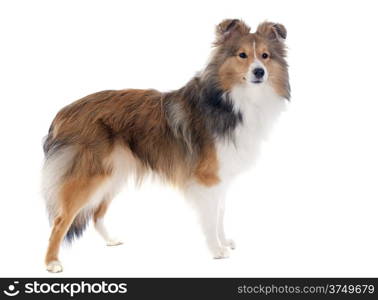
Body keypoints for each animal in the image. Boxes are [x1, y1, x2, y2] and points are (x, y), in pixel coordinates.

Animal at [41, 18, 290, 272]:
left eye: (265, 55)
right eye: (242, 55)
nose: (259, 72)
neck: (230, 100)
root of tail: (63, 113)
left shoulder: (222, 177)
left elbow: (220, 213)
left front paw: (223, 241)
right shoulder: (207, 178)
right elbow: (211, 217)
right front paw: (216, 250)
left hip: (113, 173)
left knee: (96, 214)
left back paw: (111, 240)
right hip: (89, 176)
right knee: (60, 220)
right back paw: (52, 262)